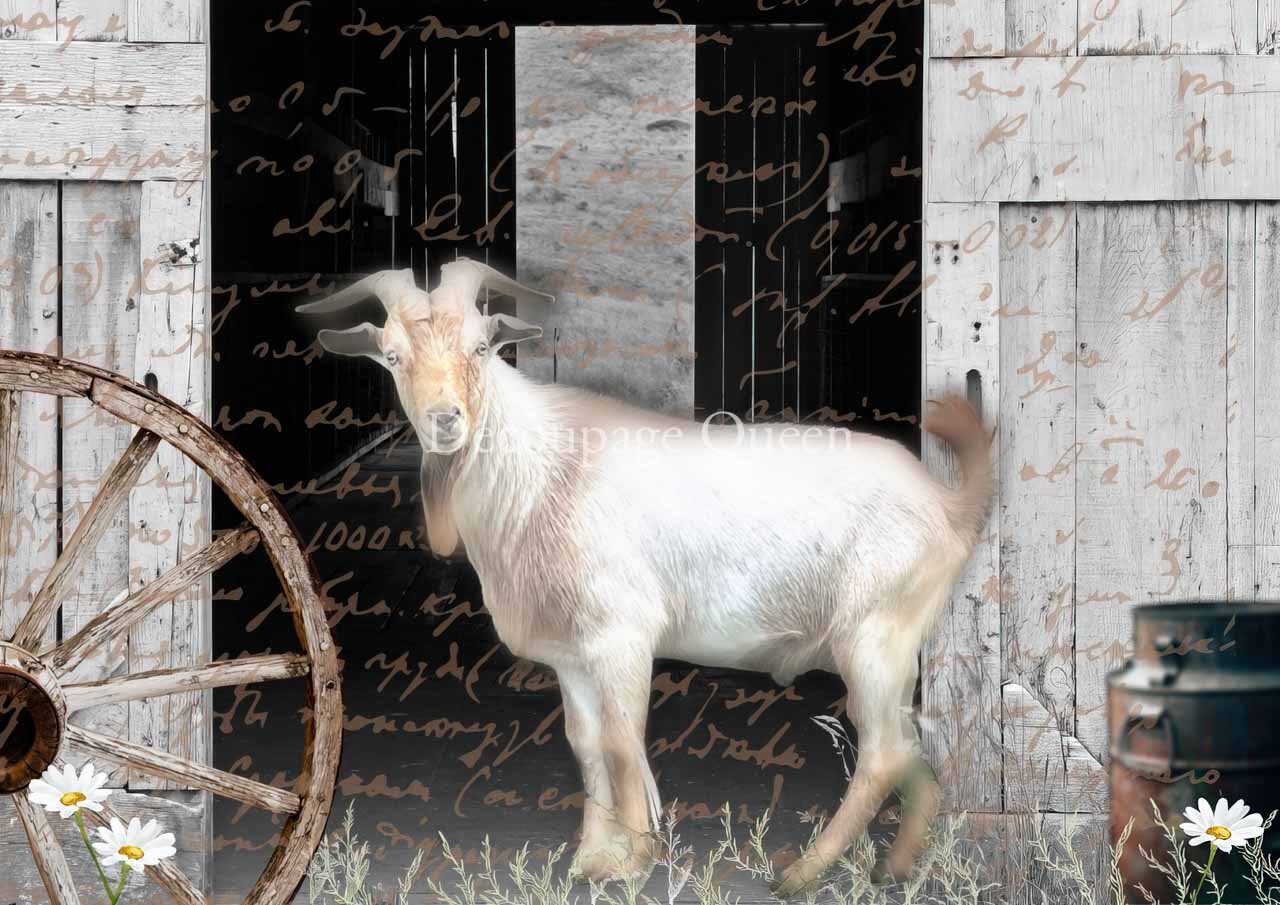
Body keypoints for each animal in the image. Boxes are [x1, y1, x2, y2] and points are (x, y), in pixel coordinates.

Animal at [298, 260, 993, 896]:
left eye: (480, 346)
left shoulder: (621, 638)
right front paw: (589, 859)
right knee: (910, 747)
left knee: (883, 752)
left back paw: (801, 873)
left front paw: (631, 860)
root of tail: (948, 502)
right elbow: (586, 745)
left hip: (875, 635)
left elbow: (622, 741)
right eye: (392, 355)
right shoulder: (572, 656)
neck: (544, 471)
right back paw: (894, 868)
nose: (445, 419)